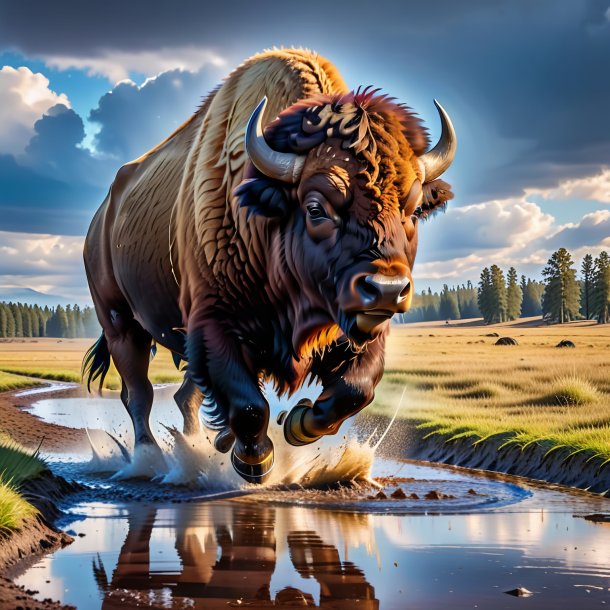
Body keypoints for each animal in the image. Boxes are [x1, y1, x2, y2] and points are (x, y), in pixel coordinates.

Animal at [83, 48, 454, 480]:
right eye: (316, 208)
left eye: (412, 210)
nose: (387, 289)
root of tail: (102, 217)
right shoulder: (215, 324)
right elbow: (248, 405)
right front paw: (254, 461)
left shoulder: (354, 330)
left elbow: (357, 388)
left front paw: (298, 424)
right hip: (120, 324)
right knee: (138, 393)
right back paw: (150, 458)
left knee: (184, 396)